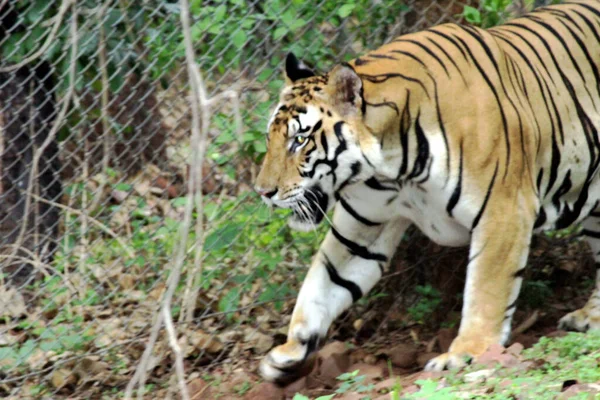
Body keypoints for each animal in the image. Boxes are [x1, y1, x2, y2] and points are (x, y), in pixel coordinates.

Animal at [255, 0, 600, 382]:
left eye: (299, 141)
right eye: (271, 138)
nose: (262, 191)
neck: (390, 168)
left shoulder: (504, 211)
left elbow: (486, 289)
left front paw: (466, 352)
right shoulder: (363, 229)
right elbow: (322, 284)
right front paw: (289, 350)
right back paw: (589, 318)